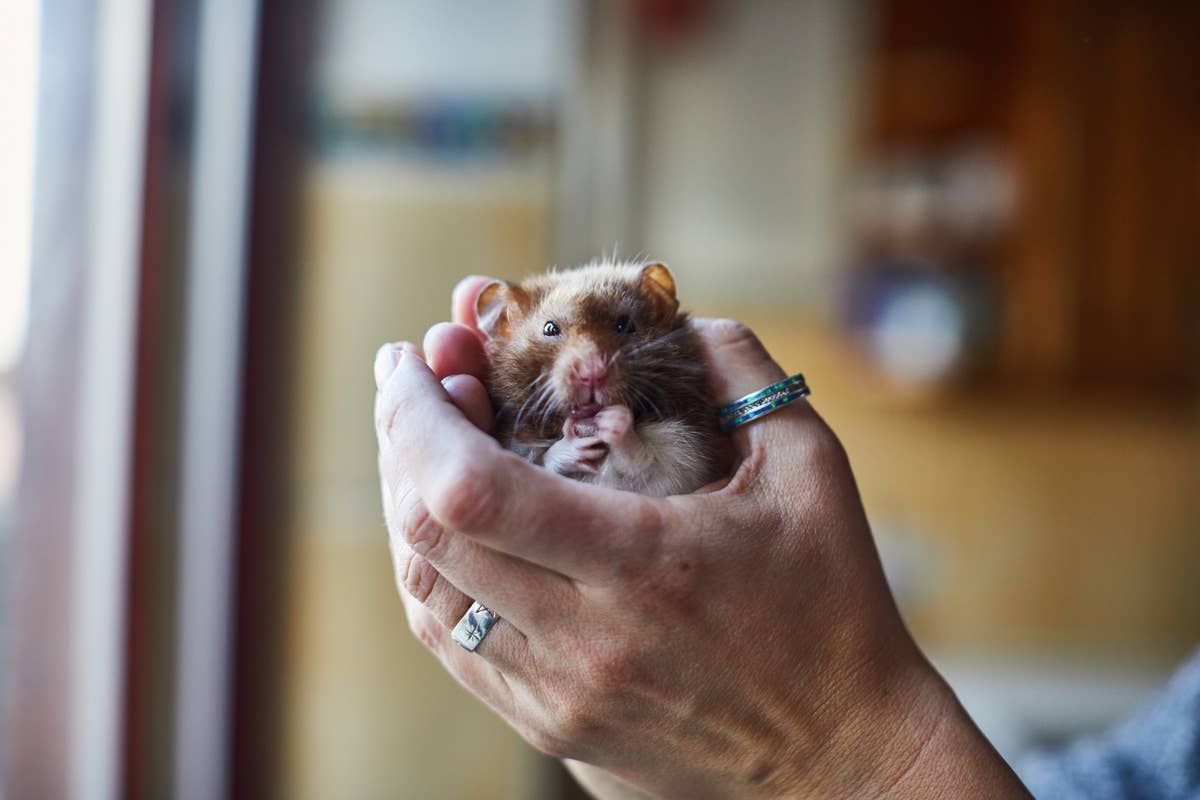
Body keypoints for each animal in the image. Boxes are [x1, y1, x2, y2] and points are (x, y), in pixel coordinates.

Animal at [475, 259, 719, 497]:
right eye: (550, 328)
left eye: (625, 324)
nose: (592, 373)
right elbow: (544, 460)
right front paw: (575, 446)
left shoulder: (680, 456)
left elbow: (641, 461)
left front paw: (612, 419)